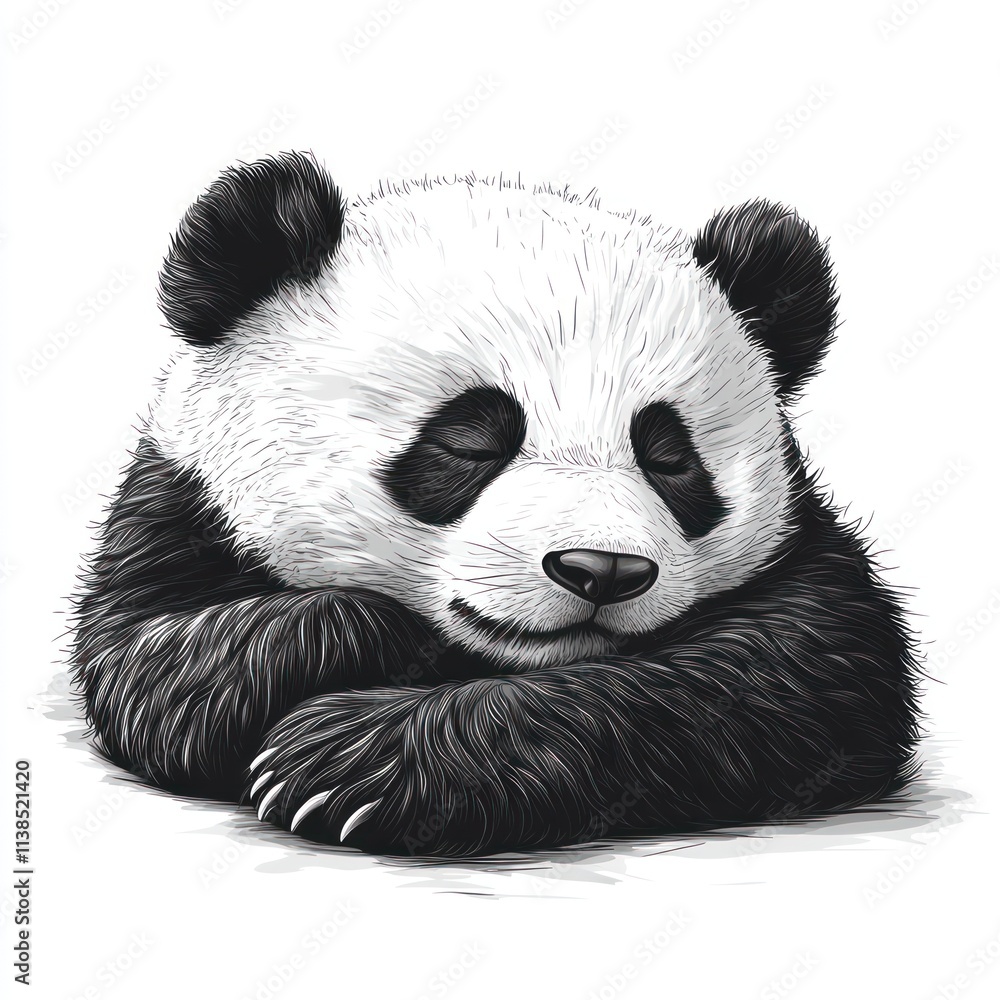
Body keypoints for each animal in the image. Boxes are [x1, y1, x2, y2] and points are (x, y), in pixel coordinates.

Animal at [71, 151, 920, 857]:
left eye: (670, 459)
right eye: (470, 442)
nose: (603, 569)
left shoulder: (802, 561)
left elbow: (787, 672)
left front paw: (346, 763)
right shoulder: (177, 514)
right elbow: (161, 668)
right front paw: (388, 641)